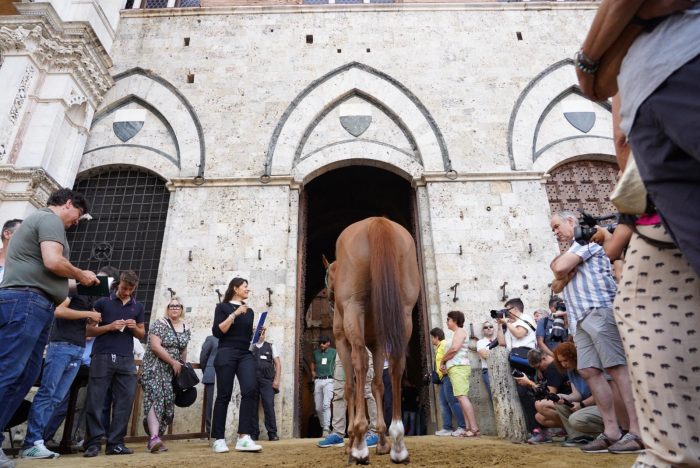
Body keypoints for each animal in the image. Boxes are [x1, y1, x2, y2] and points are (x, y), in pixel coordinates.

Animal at [324, 217, 422, 464]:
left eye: (327, 275)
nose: (329, 297)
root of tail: (377, 222)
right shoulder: (377, 344)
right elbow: (377, 385)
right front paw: (382, 441)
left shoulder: (342, 342)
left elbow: (350, 387)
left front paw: (351, 440)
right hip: (404, 313)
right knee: (396, 365)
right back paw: (398, 443)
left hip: (353, 309)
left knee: (359, 362)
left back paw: (359, 446)